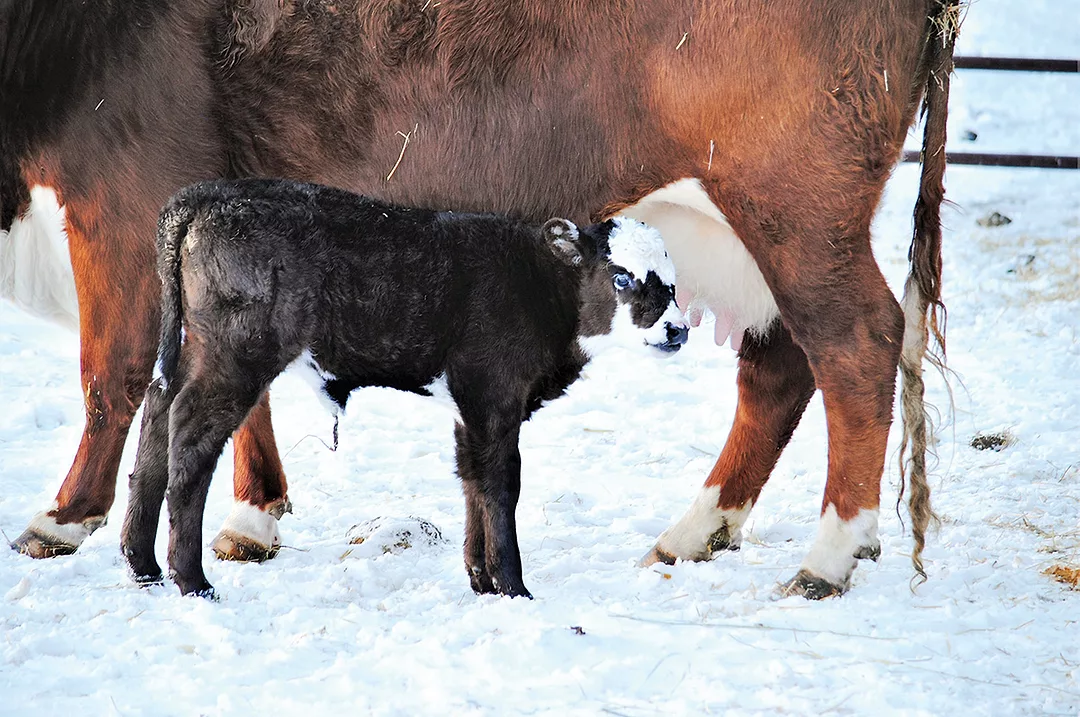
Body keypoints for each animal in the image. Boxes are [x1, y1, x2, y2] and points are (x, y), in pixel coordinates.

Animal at [118, 178, 687, 599]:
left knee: (157, 415)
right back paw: (192, 581)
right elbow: (501, 486)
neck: (539, 283)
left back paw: (143, 566)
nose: (677, 330)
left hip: (190, 348)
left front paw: (481, 582)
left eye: (674, 282)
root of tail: (205, 195)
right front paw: (514, 587)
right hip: (236, 355)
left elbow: (471, 480)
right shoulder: (494, 396)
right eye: (620, 276)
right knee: (189, 436)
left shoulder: (468, 407)